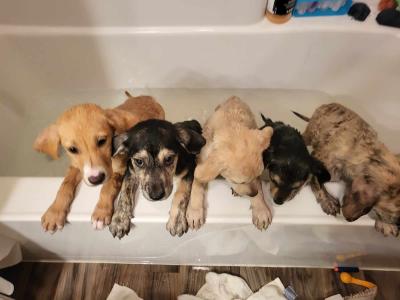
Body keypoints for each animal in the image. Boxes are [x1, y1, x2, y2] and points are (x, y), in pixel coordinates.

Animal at [34, 91, 164, 232]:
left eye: (102, 141)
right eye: (72, 149)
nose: (96, 179)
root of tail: (146, 97)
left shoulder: (119, 169)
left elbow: (107, 187)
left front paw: (101, 213)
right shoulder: (77, 167)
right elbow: (65, 184)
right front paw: (54, 212)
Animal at [185, 97, 274, 231]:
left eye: (258, 175)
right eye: (239, 182)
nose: (254, 193)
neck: (232, 126)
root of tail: (234, 97)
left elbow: (259, 187)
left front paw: (261, 209)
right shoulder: (201, 163)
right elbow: (197, 185)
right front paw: (194, 211)